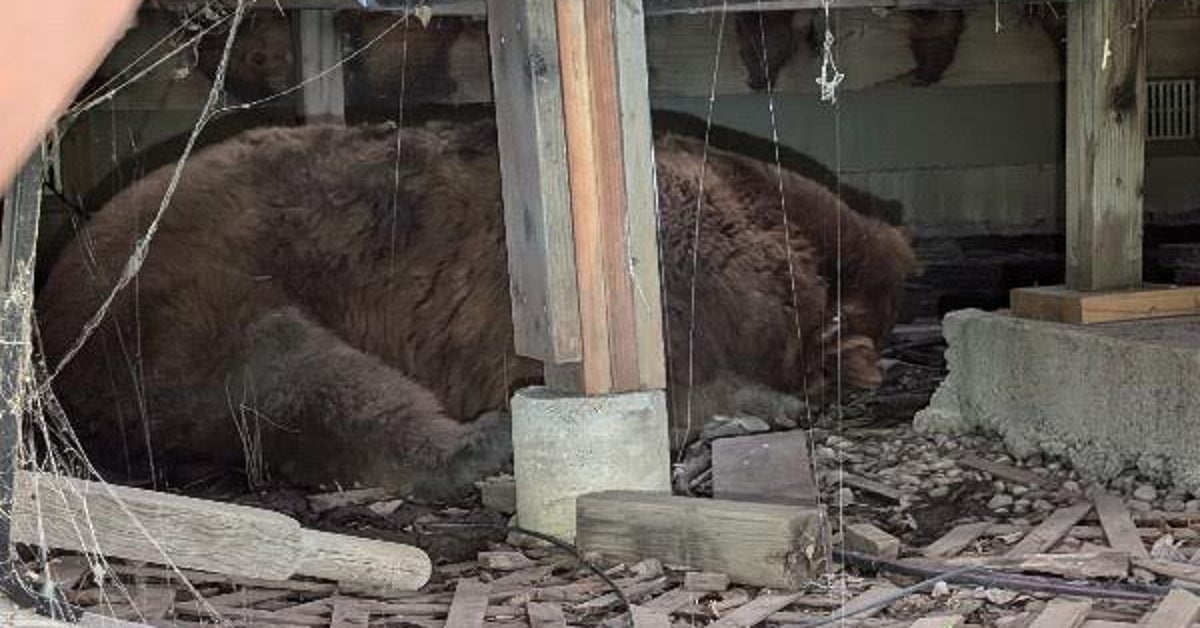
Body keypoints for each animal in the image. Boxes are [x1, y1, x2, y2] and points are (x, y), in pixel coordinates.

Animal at [36, 119, 918, 500]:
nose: (880, 356)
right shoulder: (679, 274)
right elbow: (689, 375)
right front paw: (765, 400)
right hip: (190, 292)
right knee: (294, 375)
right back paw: (482, 443)